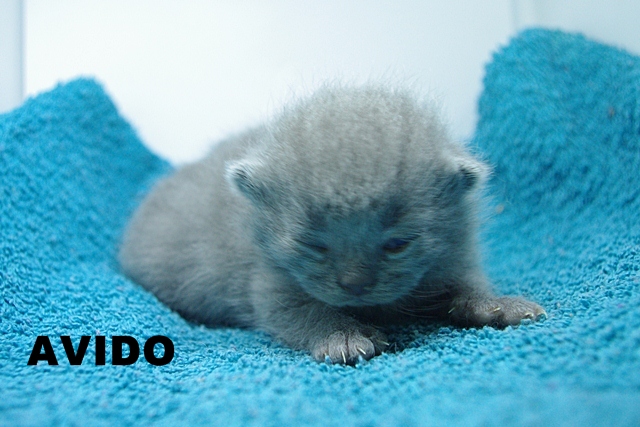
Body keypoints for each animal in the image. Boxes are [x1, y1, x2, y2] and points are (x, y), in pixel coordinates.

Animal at [118, 83, 546, 365]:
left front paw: (496, 305)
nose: (355, 285)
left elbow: (466, 286)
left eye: (397, 244)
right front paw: (342, 336)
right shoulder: (267, 281)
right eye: (315, 246)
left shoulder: (451, 255)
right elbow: (300, 312)